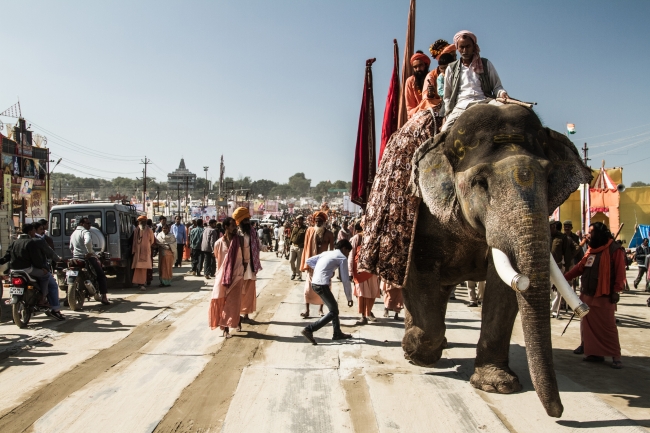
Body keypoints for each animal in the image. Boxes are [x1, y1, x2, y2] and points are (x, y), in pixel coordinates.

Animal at [402, 103, 588, 416]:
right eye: (480, 182)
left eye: (549, 179)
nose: (559, 412)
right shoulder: (424, 214)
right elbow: (420, 269)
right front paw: (418, 353)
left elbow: (505, 287)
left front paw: (497, 385)